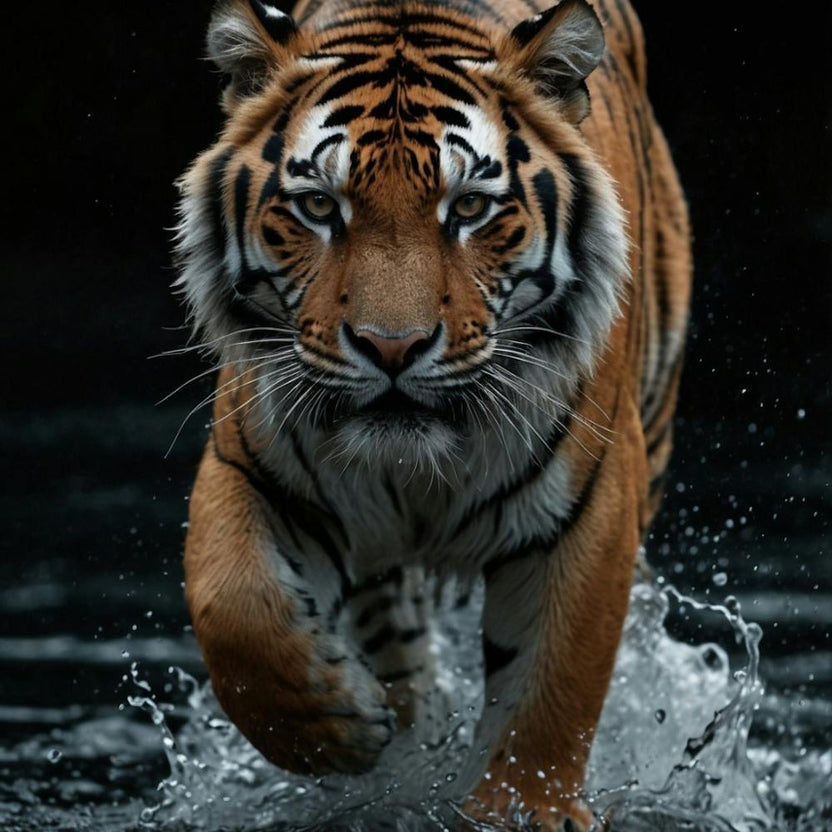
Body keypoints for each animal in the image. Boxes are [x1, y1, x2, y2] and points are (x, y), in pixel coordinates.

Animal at [173, 0, 691, 827]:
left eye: (470, 208)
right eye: (319, 206)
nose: (393, 347)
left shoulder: (592, 503)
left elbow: (551, 690)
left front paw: (523, 810)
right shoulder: (250, 464)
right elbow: (233, 609)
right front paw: (340, 727)